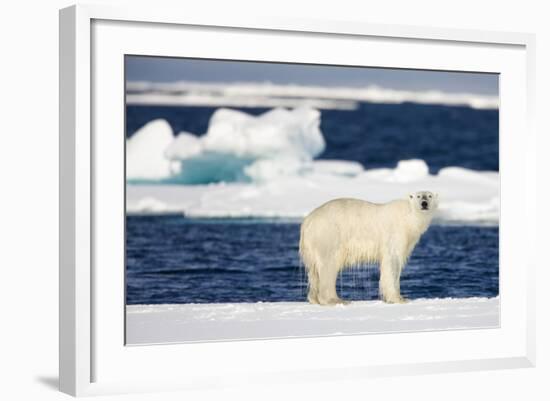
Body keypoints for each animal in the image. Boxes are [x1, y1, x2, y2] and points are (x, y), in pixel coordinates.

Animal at [302, 191, 440, 304]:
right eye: (418, 196)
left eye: (429, 195)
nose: (424, 203)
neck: (408, 217)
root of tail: (308, 220)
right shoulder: (395, 234)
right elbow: (392, 262)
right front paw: (398, 298)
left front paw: (401, 297)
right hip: (329, 234)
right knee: (328, 264)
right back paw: (335, 300)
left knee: (314, 270)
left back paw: (314, 299)